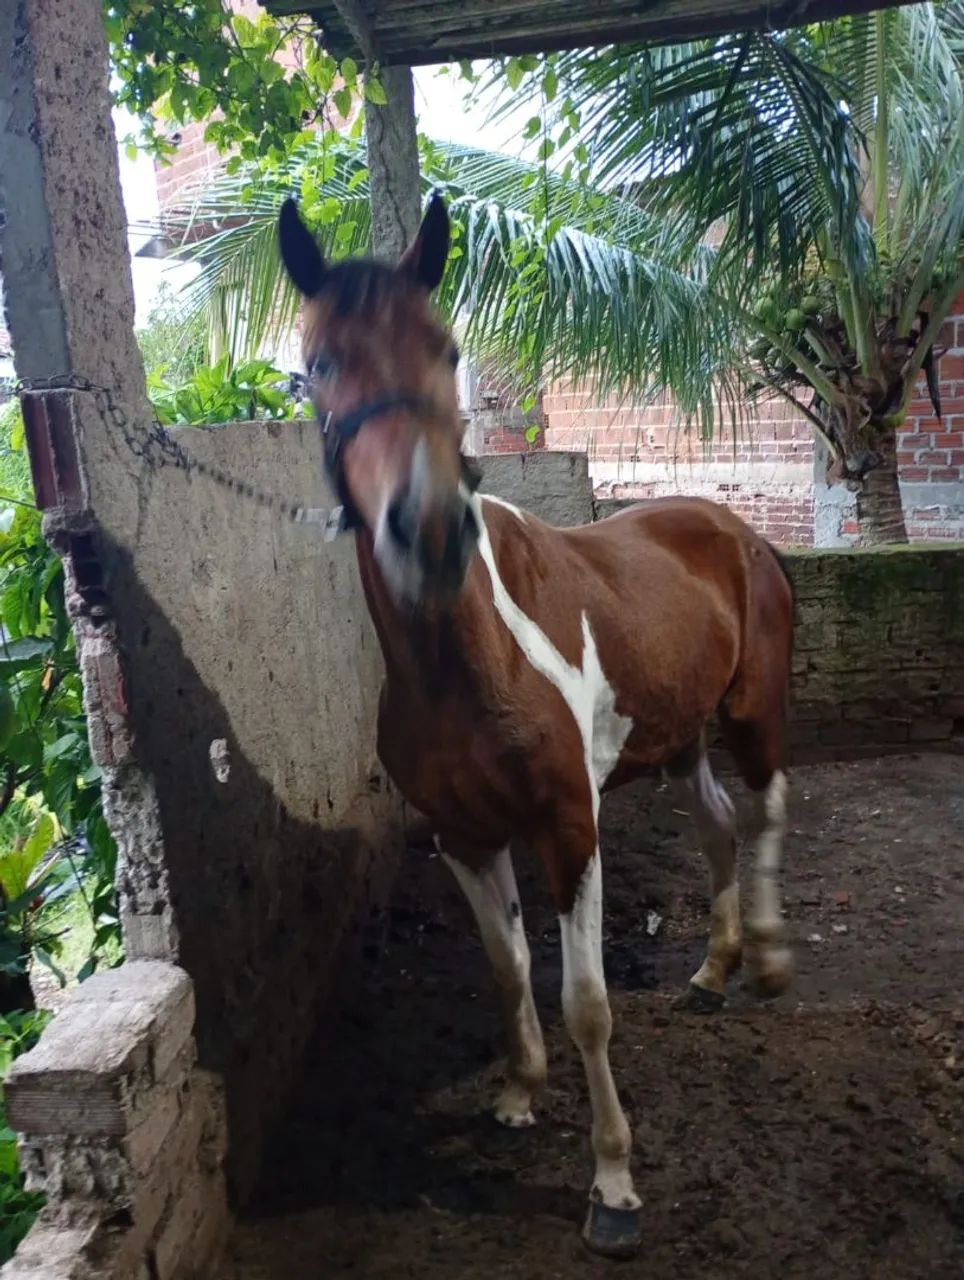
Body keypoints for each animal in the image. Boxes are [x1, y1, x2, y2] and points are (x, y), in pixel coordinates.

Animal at [278, 192, 795, 1258]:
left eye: (446, 348)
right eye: (319, 364)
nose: (430, 529)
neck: (467, 662)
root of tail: (734, 531)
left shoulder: (570, 828)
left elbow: (585, 1004)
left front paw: (614, 1186)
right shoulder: (466, 838)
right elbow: (507, 965)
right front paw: (518, 1091)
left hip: (751, 716)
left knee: (767, 814)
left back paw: (766, 958)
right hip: (679, 739)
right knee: (720, 826)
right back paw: (712, 970)